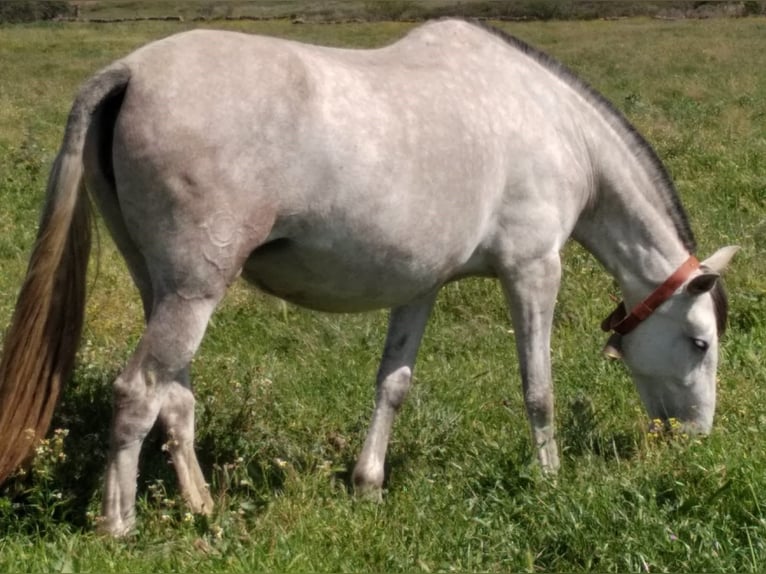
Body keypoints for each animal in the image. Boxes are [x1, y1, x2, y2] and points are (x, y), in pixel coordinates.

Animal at [0, 19, 736, 540]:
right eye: (700, 343)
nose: (693, 442)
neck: (557, 129)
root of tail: (127, 72)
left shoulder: (421, 286)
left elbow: (394, 385)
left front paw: (367, 483)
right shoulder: (533, 270)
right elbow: (538, 390)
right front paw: (551, 481)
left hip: (165, 288)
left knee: (174, 397)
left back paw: (203, 509)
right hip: (193, 291)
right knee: (137, 392)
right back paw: (119, 527)